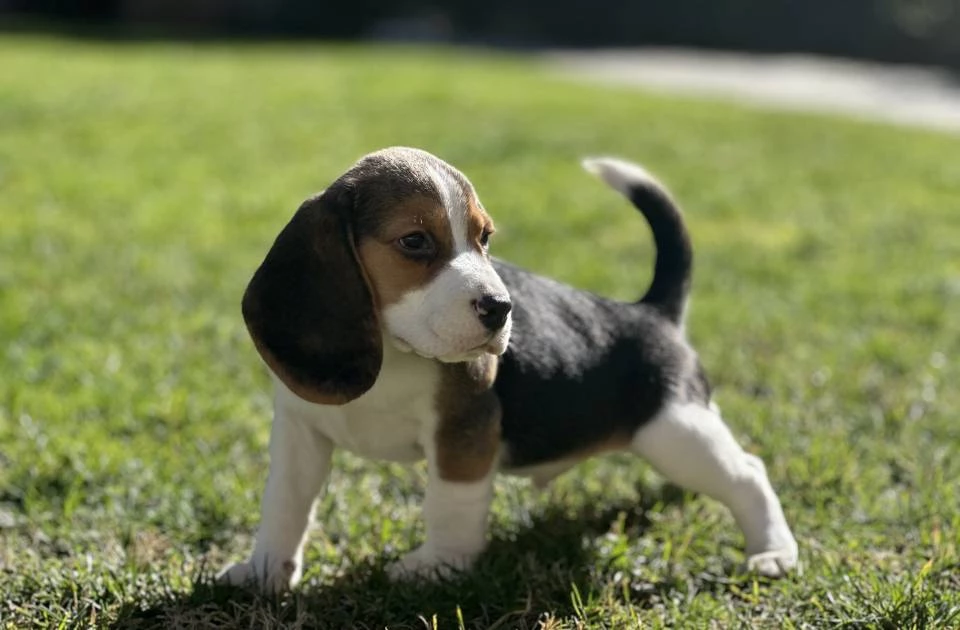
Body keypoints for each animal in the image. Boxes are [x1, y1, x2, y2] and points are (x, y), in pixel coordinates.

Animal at [221, 147, 800, 592]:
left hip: (675, 431)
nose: (501, 308)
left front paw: (438, 567)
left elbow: (450, 504)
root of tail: (653, 312)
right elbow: (285, 504)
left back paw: (773, 553)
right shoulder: (301, 433)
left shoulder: (463, 433)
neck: (397, 352)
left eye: (485, 239)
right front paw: (264, 571)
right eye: (414, 241)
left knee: (748, 473)